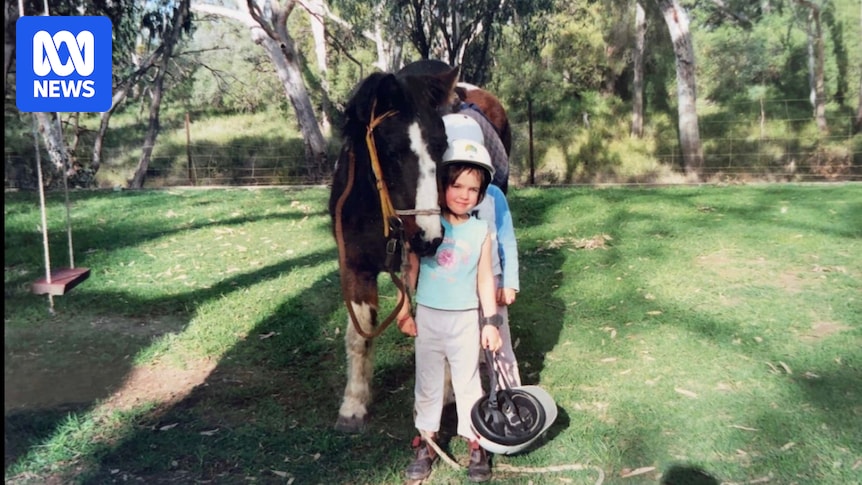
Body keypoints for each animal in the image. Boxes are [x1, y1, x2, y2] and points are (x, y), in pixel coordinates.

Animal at [329, 65, 460, 433]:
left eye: (442, 146)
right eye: (390, 150)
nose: (430, 236)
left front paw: (442, 393)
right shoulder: (355, 268)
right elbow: (359, 335)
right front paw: (353, 405)